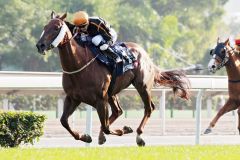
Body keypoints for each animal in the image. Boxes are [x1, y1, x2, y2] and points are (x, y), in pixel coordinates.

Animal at [36, 11, 189, 146]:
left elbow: (106, 127)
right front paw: (85, 137)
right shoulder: (73, 98)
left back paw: (139, 136)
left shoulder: (100, 99)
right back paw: (102, 136)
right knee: (118, 111)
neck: (79, 64)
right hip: (112, 92)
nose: (40, 45)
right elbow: (64, 121)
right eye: (44, 27)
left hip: (142, 86)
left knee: (148, 108)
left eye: (56, 27)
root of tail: (145, 54)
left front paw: (124, 129)